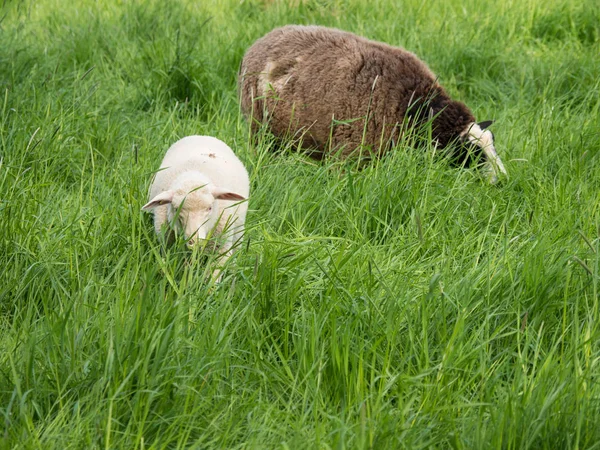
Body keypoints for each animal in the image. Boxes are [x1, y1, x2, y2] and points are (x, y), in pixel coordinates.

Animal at [142, 135, 250, 280]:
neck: (194, 174)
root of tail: (202, 135)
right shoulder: (168, 247)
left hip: (238, 228)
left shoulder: (221, 249)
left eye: (210, 208)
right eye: (176, 209)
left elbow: (213, 278)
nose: (194, 241)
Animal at [238, 24, 506, 183]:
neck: (411, 106)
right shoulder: (348, 153)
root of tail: (265, 37)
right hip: (259, 129)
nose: (503, 179)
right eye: (471, 152)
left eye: (493, 142)